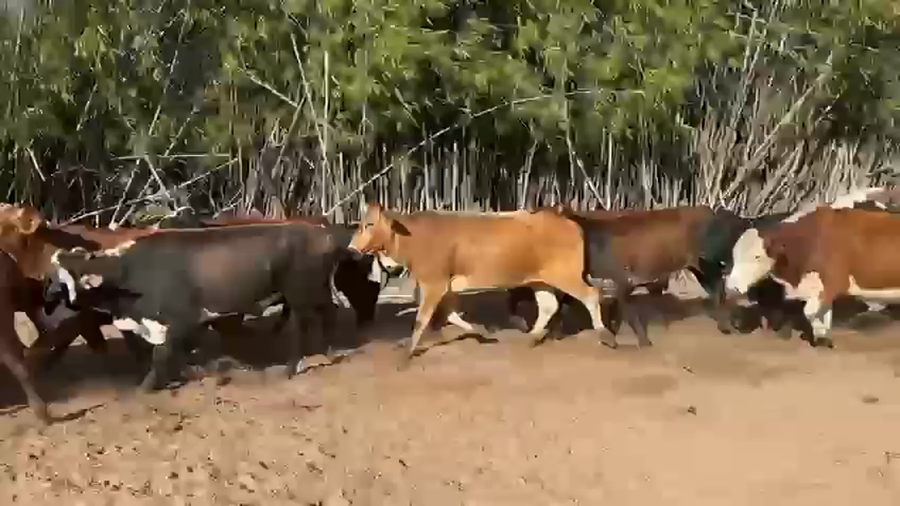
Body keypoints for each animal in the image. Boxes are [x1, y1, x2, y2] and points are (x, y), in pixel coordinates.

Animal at [46, 221, 357, 391]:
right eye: (53, 277)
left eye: (65, 281)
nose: (50, 302)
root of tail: (322, 233)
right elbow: (189, 355)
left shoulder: (179, 321)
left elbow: (161, 358)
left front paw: (145, 388)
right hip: (314, 291)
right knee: (328, 313)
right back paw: (329, 351)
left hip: (299, 293)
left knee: (303, 325)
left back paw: (292, 367)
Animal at [346, 203, 612, 360]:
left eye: (369, 224)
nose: (351, 248)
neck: (414, 236)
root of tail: (568, 222)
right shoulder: (445, 286)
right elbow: (450, 314)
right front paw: (480, 331)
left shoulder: (434, 283)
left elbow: (422, 319)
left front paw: (408, 353)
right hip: (541, 279)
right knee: (549, 305)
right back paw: (533, 337)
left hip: (566, 275)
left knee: (591, 295)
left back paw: (604, 335)